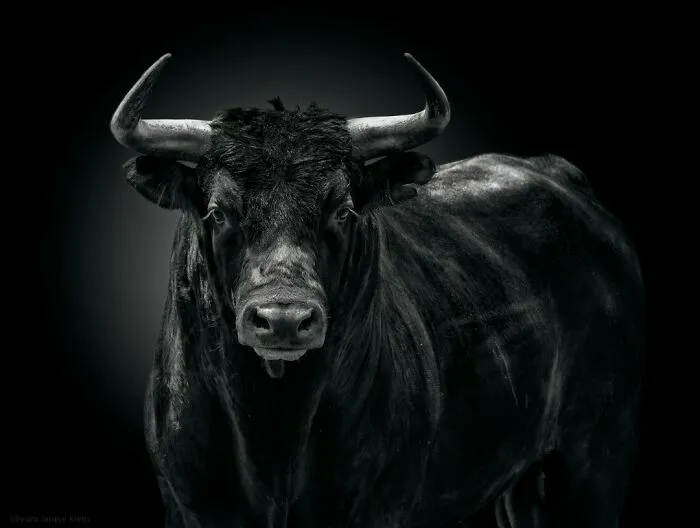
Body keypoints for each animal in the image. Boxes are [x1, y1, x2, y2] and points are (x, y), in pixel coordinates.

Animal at [109, 53, 644, 528]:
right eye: (218, 211)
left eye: (343, 209)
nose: (283, 320)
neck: (275, 435)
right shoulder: (187, 507)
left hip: (595, 460)